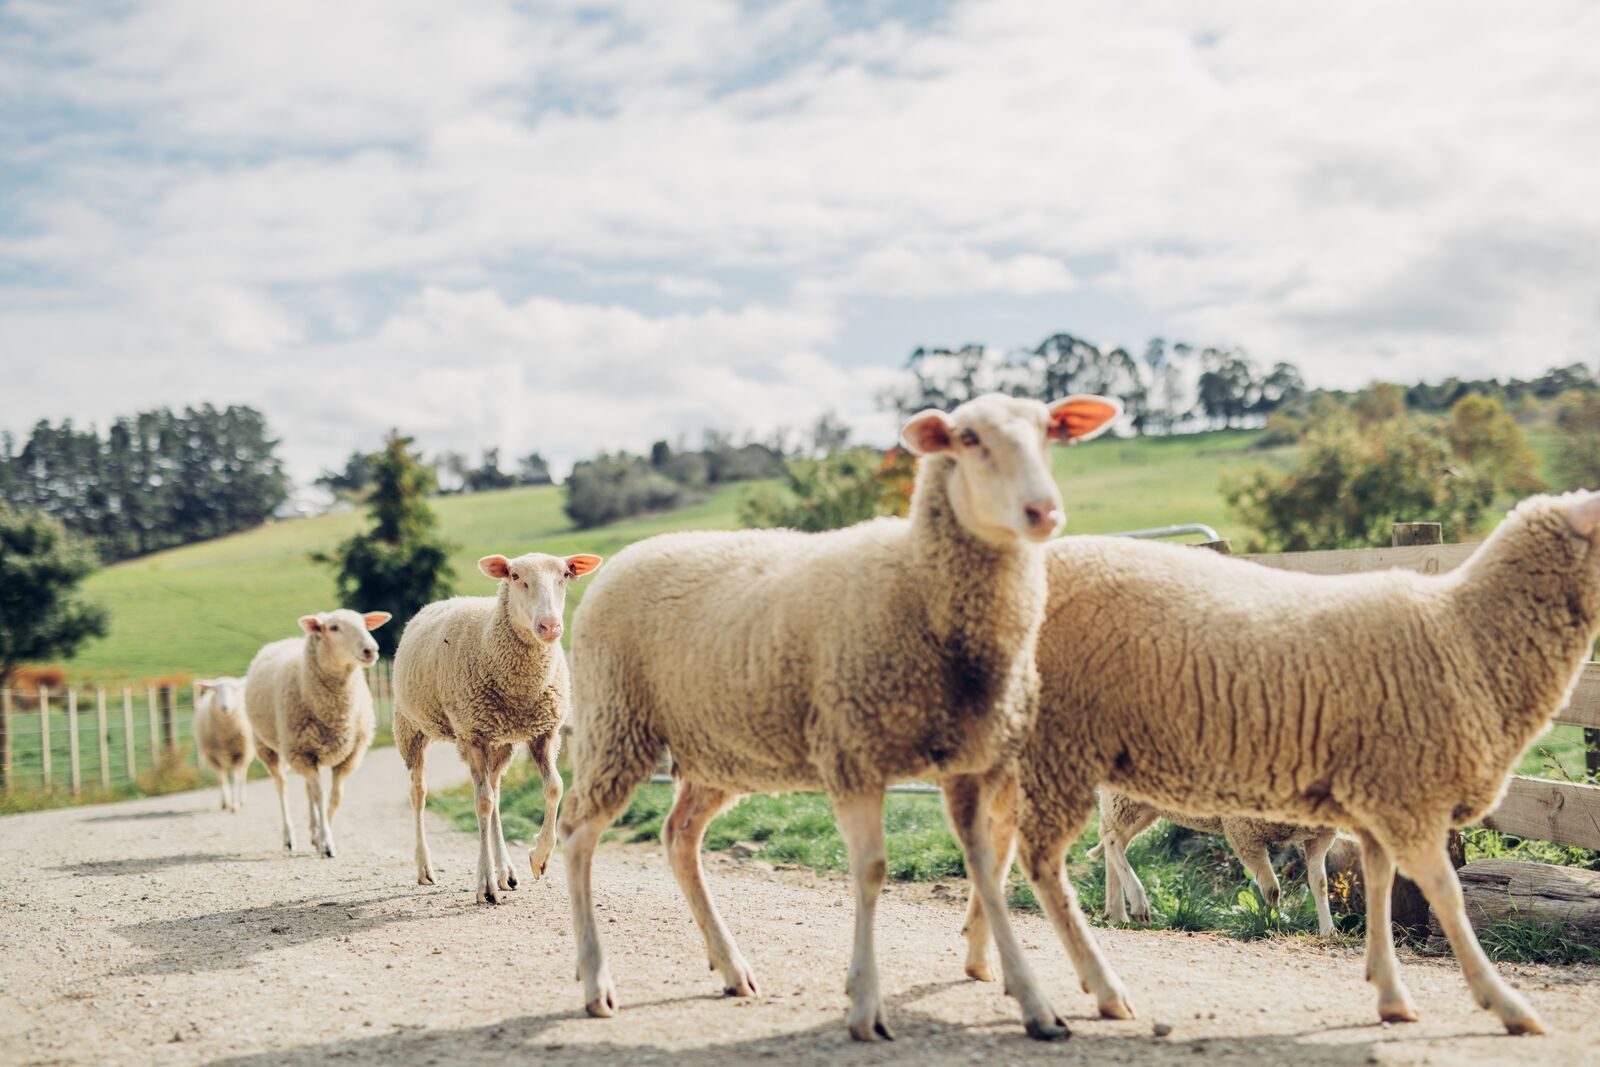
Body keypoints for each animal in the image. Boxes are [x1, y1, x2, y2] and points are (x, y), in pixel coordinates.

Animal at [194, 677, 252, 813]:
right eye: (216, 690)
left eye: (234, 689)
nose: (225, 707)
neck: (224, 736)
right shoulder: (213, 758)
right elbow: (222, 779)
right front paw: (226, 803)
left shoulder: (240, 754)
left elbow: (236, 779)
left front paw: (235, 806)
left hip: (247, 754)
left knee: (243, 776)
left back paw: (242, 799)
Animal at [245, 609, 390, 858]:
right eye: (333, 627)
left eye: (365, 624)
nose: (371, 650)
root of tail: (284, 641)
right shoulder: (303, 753)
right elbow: (320, 797)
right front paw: (326, 842)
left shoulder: (348, 756)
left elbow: (334, 798)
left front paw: (322, 836)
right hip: (269, 747)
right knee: (282, 786)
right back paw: (289, 838)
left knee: (307, 789)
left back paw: (313, 831)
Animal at [392, 550, 603, 904]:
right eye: (515, 576)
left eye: (565, 574)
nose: (549, 626)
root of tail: (442, 602)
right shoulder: (472, 735)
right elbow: (482, 804)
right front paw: (485, 885)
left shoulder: (545, 732)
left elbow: (554, 788)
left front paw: (539, 857)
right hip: (411, 729)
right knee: (419, 794)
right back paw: (425, 868)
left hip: (501, 741)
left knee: (495, 792)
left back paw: (507, 872)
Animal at [559, 392, 1125, 1043]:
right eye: (968, 438)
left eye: (1050, 432)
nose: (1043, 512)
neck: (922, 583)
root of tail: (629, 553)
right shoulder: (853, 751)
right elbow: (872, 871)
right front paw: (864, 1006)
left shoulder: (969, 763)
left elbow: (986, 871)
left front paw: (1036, 1004)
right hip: (614, 723)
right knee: (576, 831)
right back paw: (596, 981)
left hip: (715, 750)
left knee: (679, 837)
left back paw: (731, 967)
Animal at [1088, 787, 1338, 936]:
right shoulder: (1243, 831)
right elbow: (1271, 890)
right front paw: (1274, 924)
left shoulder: (1320, 836)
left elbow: (1320, 884)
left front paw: (1328, 931)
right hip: (1124, 795)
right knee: (1111, 839)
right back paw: (1137, 903)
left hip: (1148, 805)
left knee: (1115, 840)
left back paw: (1116, 913)